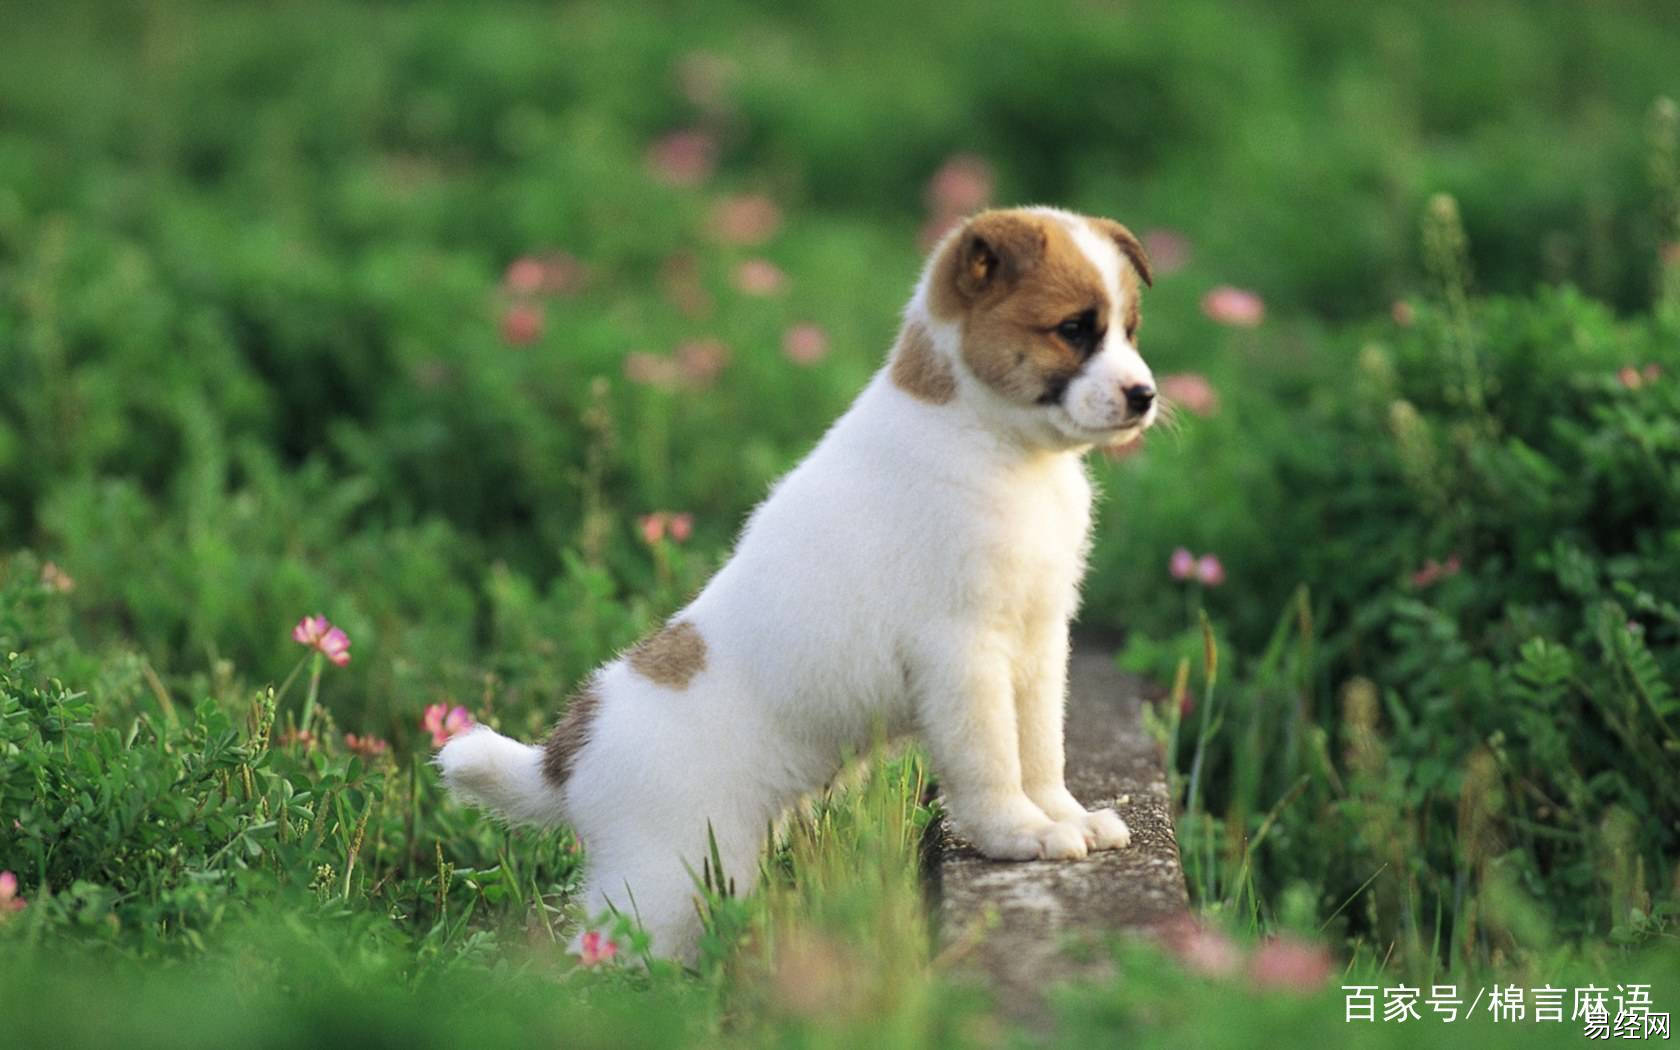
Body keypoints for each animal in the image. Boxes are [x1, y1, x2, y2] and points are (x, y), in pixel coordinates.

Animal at [440, 202, 1162, 960]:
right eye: (1073, 329)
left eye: (1129, 329)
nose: (1145, 396)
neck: (991, 439)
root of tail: (568, 756)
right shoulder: (963, 657)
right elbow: (992, 760)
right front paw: (1019, 834)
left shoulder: (1038, 643)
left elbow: (1041, 748)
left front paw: (1063, 817)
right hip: (664, 882)